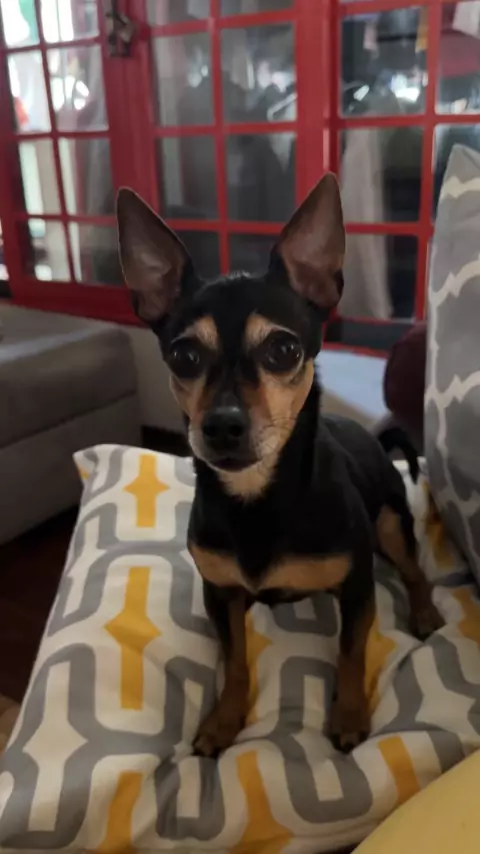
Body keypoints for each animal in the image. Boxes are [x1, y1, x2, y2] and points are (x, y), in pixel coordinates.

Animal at [117, 174, 442, 756]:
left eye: (284, 350)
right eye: (183, 357)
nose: (222, 425)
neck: (257, 497)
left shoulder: (357, 589)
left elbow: (350, 653)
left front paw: (349, 715)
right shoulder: (220, 593)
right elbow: (236, 661)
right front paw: (224, 719)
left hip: (390, 524)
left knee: (414, 571)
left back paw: (425, 613)